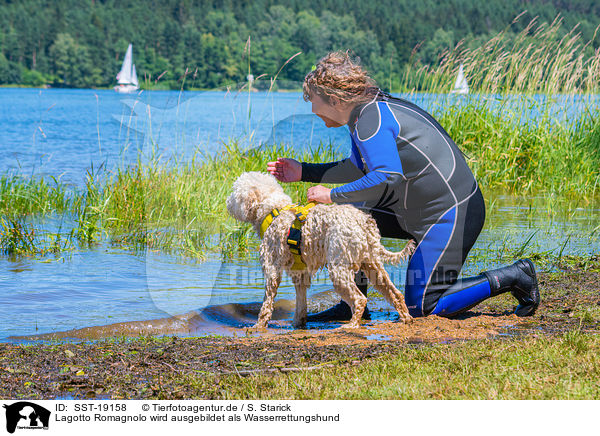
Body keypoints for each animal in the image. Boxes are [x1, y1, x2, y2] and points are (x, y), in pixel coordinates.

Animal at [227, 172, 414, 328]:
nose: (227, 202)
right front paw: (298, 324)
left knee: (360, 299)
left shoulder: (271, 269)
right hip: (372, 264)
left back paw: (352, 324)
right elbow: (300, 304)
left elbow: (267, 303)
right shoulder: (300, 275)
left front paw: (258, 326)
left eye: (235, 192)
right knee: (395, 293)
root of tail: (363, 221)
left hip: (339, 268)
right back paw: (406, 318)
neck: (274, 212)